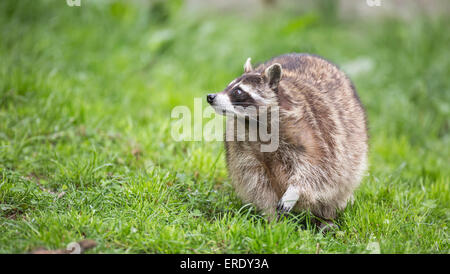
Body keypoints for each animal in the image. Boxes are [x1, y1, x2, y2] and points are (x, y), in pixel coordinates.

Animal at [206, 53, 368, 227]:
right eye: (228, 86)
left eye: (238, 91)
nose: (210, 97)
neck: (255, 123)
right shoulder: (241, 147)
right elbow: (255, 181)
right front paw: (272, 219)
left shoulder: (316, 132)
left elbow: (317, 168)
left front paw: (294, 191)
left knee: (338, 183)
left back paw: (326, 218)